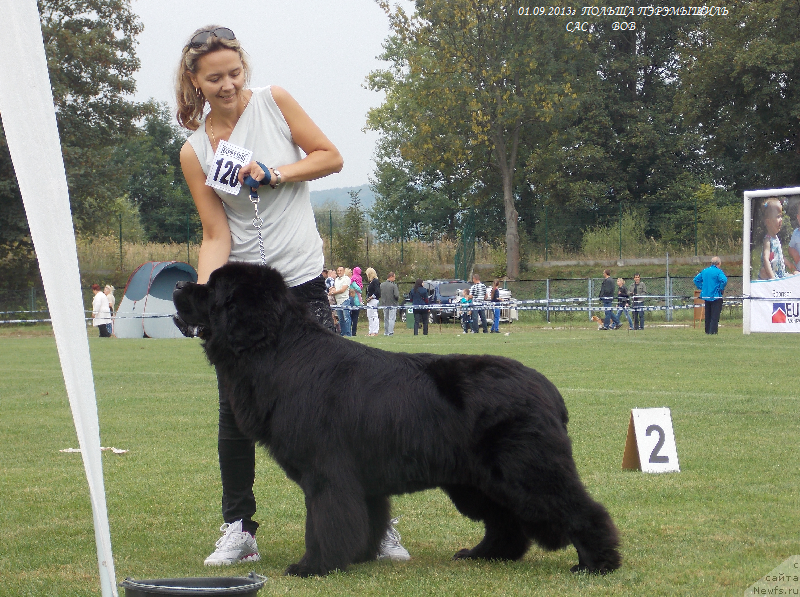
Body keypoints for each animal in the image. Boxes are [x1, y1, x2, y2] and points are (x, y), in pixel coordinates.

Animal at [173, 264, 620, 576]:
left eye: (212, 288)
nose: (177, 286)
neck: (280, 352)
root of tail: (547, 388)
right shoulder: (360, 479)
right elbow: (365, 519)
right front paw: (359, 556)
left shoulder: (326, 472)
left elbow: (325, 520)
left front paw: (314, 565)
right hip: (477, 481)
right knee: (504, 521)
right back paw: (484, 554)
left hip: (526, 470)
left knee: (577, 508)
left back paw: (596, 563)